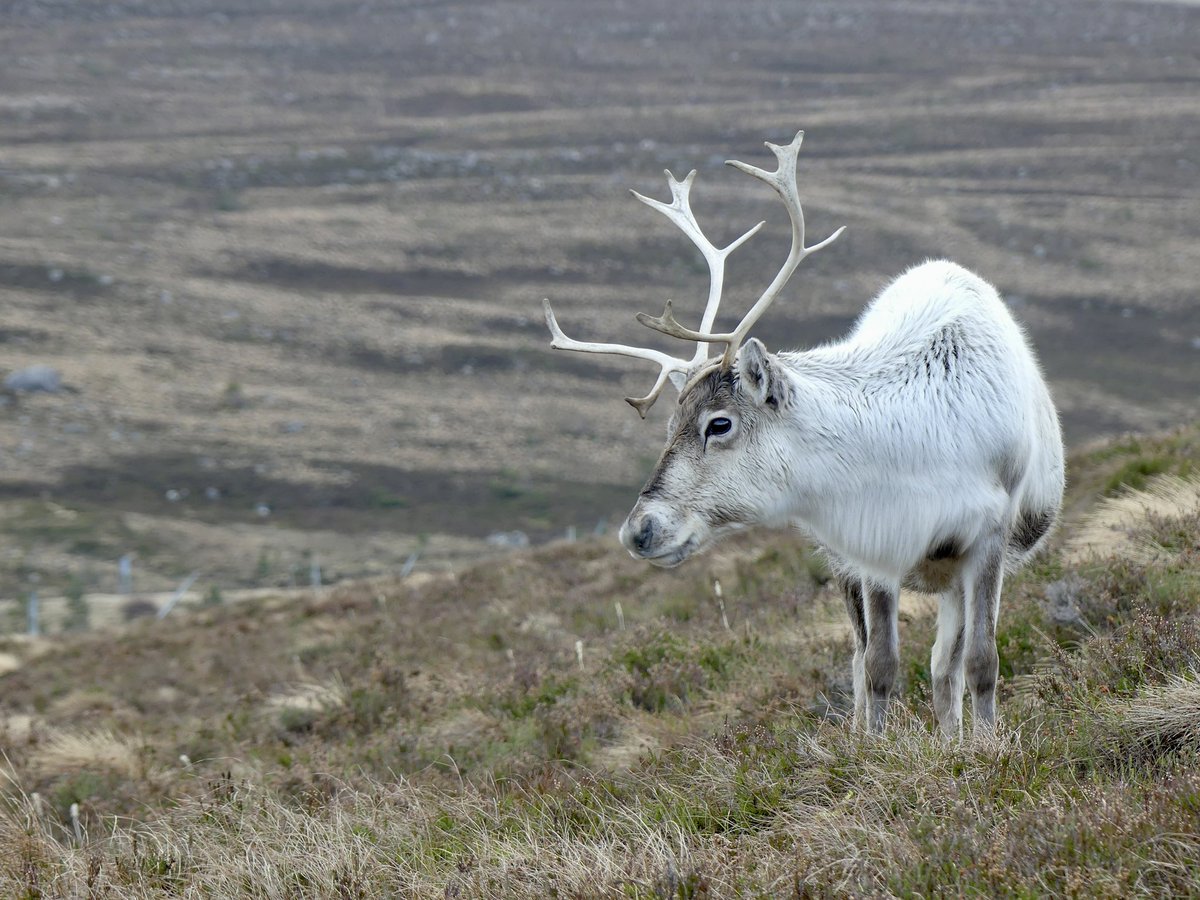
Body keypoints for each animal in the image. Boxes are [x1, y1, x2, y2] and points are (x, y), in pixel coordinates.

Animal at [542, 131, 1064, 739]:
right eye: (669, 423)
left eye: (719, 423)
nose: (638, 530)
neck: (919, 444)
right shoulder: (870, 549)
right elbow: (879, 666)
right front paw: (873, 749)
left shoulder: (988, 539)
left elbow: (982, 660)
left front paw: (982, 747)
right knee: (871, 659)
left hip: (955, 572)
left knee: (945, 664)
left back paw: (951, 738)